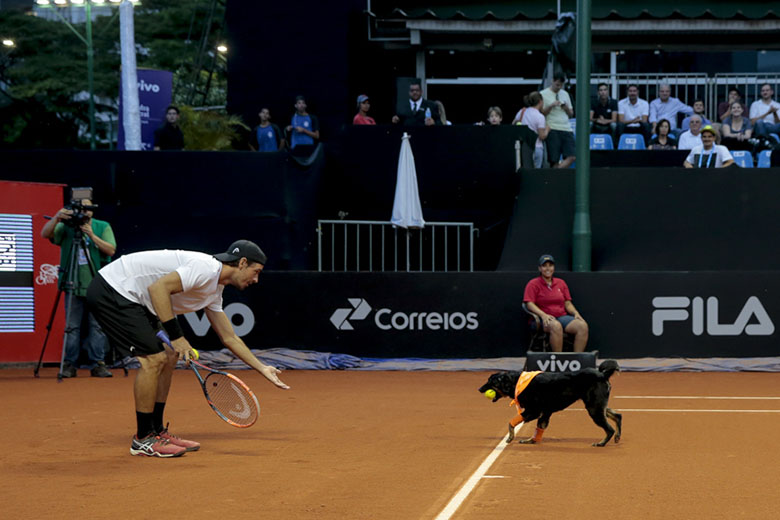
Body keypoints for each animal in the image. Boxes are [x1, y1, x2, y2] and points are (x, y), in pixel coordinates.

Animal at [476, 360, 620, 444]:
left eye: (490, 382)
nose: (479, 389)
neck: (516, 382)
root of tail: (603, 374)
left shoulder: (533, 411)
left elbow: (511, 423)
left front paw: (511, 437)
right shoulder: (544, 412)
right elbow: (539, 427)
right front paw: (532, 440)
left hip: (594, 409)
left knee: (610, 429)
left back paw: (602, 443)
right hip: (597, 405)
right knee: (618, 416)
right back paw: (617, 437)